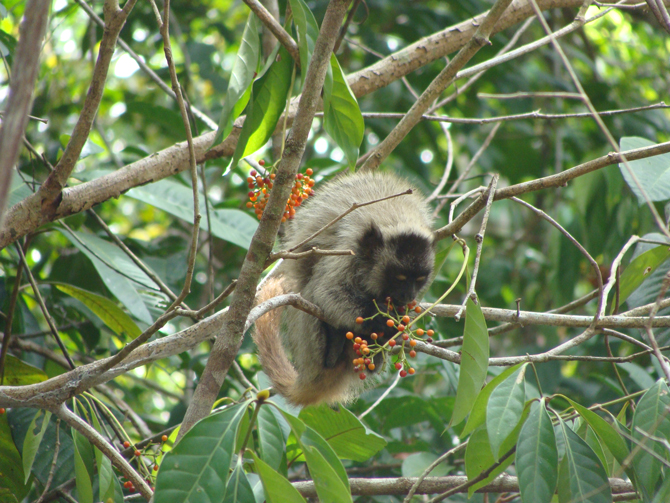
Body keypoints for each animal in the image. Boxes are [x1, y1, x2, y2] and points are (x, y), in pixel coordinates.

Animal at [252, 171, 436, 408]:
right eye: (400, 279)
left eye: (419, 280)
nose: (408, 295)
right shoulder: (349, 249)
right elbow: (325, 292)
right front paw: (379, 318)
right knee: (313, 288)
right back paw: (334, 346)